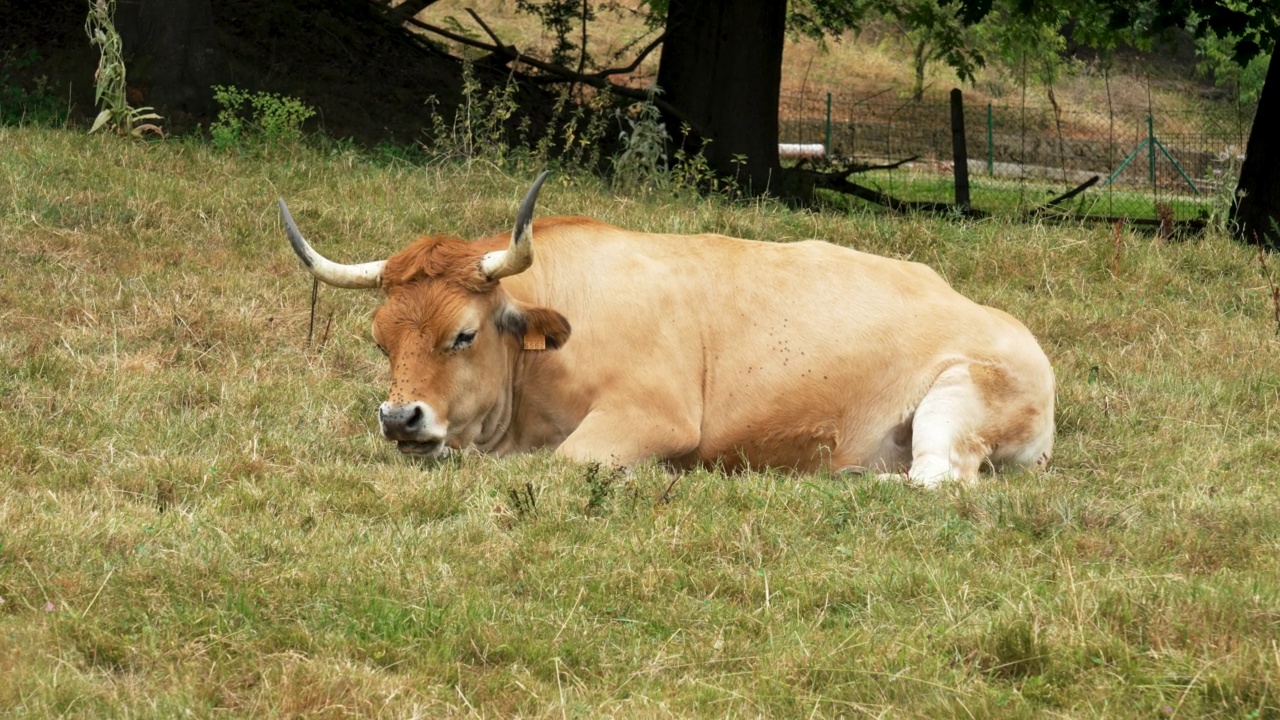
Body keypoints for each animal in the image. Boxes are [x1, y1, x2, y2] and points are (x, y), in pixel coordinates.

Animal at [277, 171, 1049, 484]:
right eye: (380, 339)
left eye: (463, 335)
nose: (400, 417)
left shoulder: (652, 416)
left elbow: (564, 463)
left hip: (957, 400)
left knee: (938, 479)